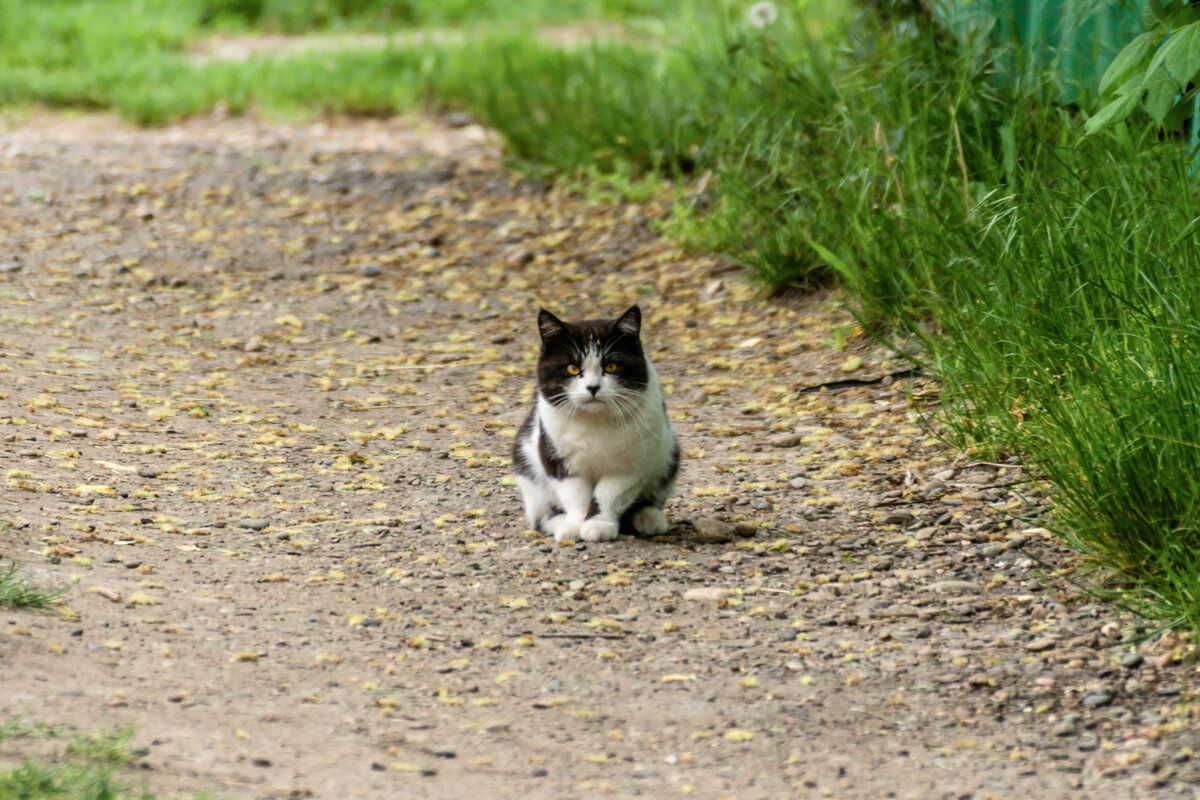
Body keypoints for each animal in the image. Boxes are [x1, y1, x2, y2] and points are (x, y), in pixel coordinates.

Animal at [511, 307, 681, 544]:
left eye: (611, 366)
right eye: (572, 368)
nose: (593, 387)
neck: (595, 422)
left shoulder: (632, 464)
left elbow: (607, 494)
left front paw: (598, 525)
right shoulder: (557, 459)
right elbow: (576, 496)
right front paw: (575, 526)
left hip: (669, 454)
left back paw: (650, 518)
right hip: (527, 467)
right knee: (541, 518)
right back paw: (560, 524)